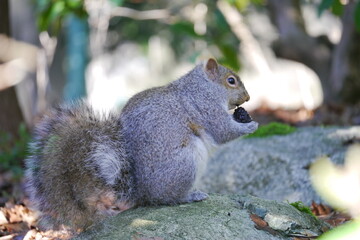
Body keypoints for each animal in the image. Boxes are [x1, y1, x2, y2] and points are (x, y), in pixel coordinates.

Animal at [23, 57, 258, 232]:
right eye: (231, 80)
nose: (248, 97)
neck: (201, 87)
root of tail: (140, 193)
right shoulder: (205, 107)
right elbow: (222, 130)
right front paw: (251, 125)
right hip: (185, 164)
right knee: (167, 199)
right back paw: (191, 195)